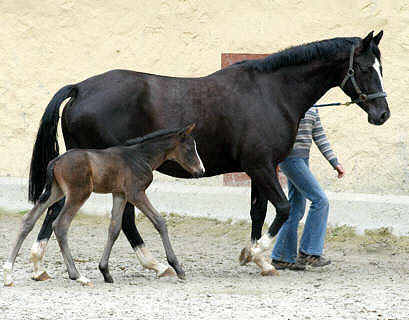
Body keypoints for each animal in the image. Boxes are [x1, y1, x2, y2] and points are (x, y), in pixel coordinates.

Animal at [3, 124, 204, 286]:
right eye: (189, 149)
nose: (201, 171)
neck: (140, 156)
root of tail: (56, 160)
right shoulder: (136, 193)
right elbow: (159, 222)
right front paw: (178, 268)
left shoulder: (120, 194)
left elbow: (114, 229)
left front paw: (105, 271)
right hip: (78, 193)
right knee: (60, 225)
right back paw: (78, 276)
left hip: (55, 191)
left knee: (28, 220)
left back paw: (8, 274)